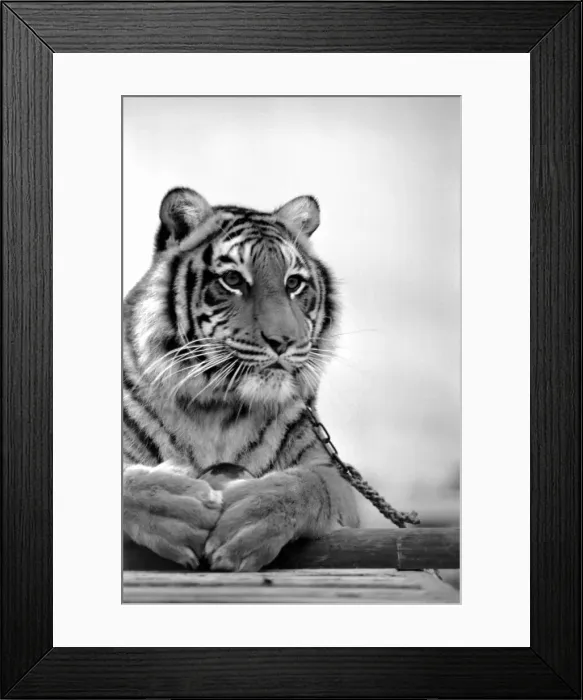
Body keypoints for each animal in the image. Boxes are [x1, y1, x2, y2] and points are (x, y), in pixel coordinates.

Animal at [123, 187, 359, 572]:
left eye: (293, 283)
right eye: (232, 280)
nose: (284, 340)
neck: (216, 409)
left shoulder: (332, 474)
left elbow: (315, 483)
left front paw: (254, 516)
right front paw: (176, 504)